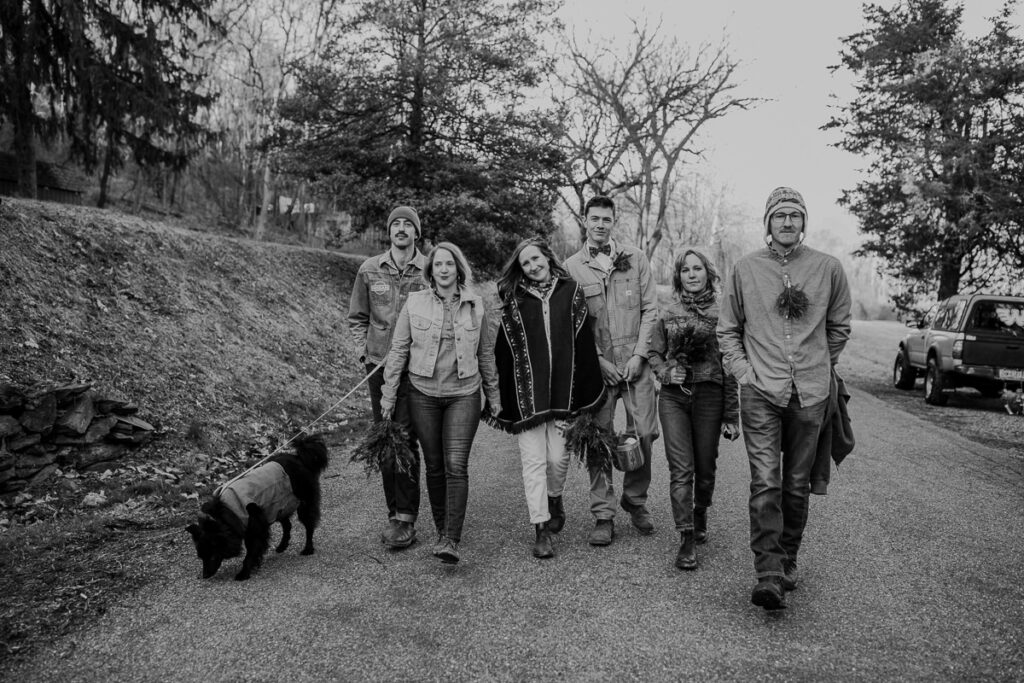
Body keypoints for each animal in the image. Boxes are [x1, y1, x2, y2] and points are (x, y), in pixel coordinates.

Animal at [184, 436, 327, 581]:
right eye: (201, 557)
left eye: (212, 554)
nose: (204, 576)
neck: (225, 516)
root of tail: (299, 458)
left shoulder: (255, 527)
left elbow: (251, 553)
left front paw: (244, 573)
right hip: (279, 505)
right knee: (287, 525)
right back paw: (282, 546)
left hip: (303, 504)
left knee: (309, 526)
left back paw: (308, 549)